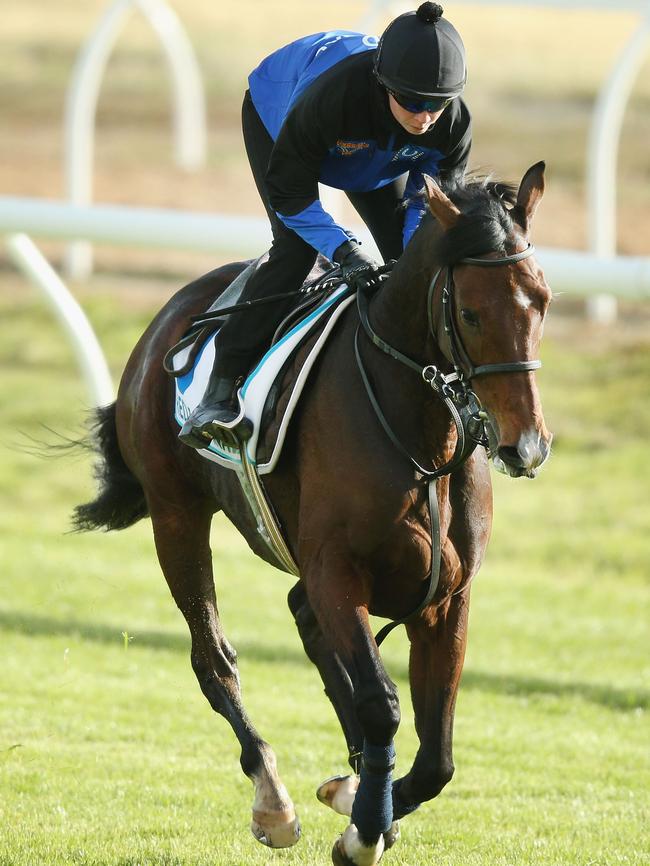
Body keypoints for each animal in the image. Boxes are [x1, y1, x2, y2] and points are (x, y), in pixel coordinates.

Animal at [76, 164, 552, 864]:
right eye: (469, 311)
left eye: (542, 300)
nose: (526, 446)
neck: (419, 435)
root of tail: (170, 315)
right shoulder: (338, 572)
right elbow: (382, 702)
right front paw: (363, 824)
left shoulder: (446, 595)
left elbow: (437, 756)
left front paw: (368, 801)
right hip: (177, 515)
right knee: (214, 658)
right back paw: (273, 798)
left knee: (306, 624)